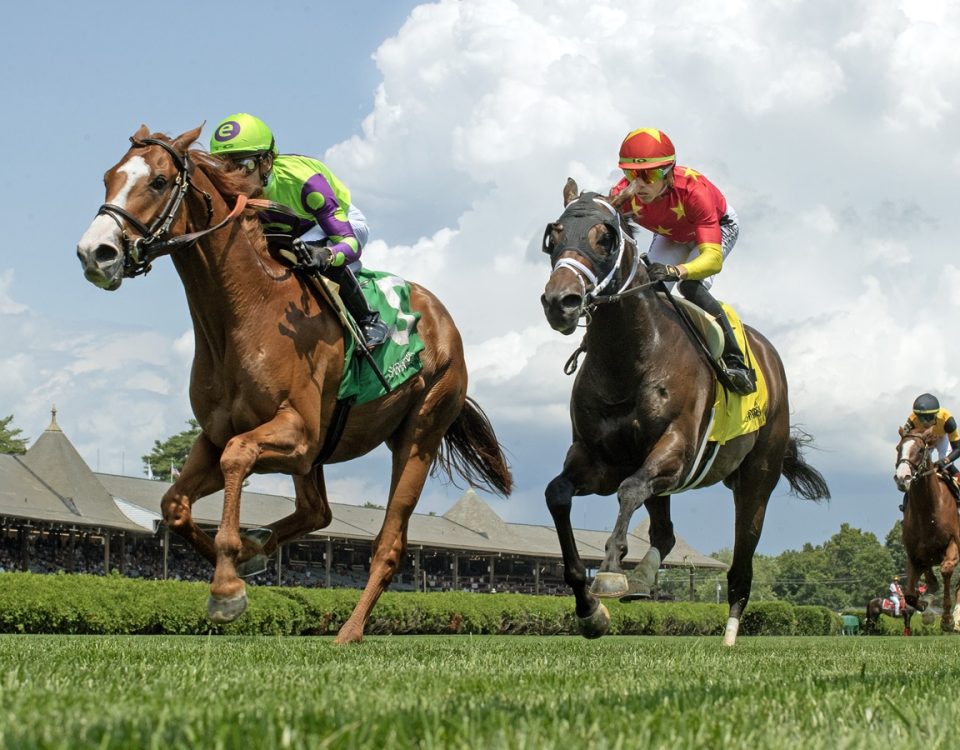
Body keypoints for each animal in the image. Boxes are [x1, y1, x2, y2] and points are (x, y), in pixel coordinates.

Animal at [75, 125, 512, 643]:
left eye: (159, 181)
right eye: (108, 177)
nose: (94, 252)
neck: (245, 313)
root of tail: (446, 323)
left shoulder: (296, 433)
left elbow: (237, 456)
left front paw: (227, 587)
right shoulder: (221, 434)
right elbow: (175, 504)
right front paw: (240, 562)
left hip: (418, 436)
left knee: (388, 544)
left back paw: (349, 630)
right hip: (323, 450)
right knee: (317, 512)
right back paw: (260, 548)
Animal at [539, 178, 830, 646]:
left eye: (605, 237)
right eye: (554, 234)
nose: (559, 301)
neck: (629, 357)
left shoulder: (676, 450)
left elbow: (629, 491)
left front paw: (611, 573)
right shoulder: (597, 461)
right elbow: (559, 494)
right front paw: (590, 610)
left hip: (756, 479)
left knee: (741, 565)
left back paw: (729, 635)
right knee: (665, 531)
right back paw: (643, 579)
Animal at [894, 426, 960, 632]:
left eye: (920, 450)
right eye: (898, 448)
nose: (902, 477)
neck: (928, 511)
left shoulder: (954, 544)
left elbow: (946, 571)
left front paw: (947, 620)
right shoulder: (914, 553)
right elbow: (910, 594)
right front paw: (925, 606)